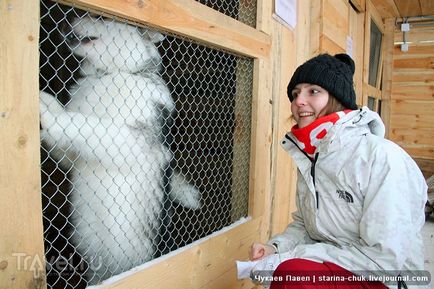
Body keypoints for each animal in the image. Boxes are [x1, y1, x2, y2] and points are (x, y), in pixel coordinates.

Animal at [39, 15, 199, 284]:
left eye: (101, 17)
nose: (68, 19)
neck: (108, 74)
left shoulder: (132, 140)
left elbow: (86, 124)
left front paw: (52, 116)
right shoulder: (72, 156)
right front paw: (46, 102)